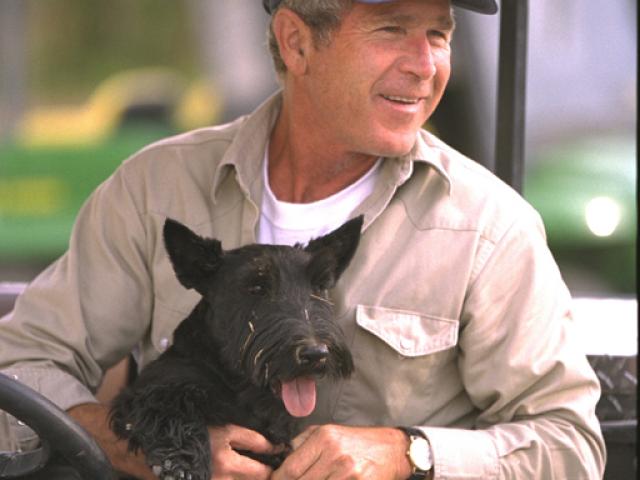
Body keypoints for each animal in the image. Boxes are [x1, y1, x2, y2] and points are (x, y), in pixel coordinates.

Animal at [109, 217, 360, 480]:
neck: (241, 386)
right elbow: (167, 405)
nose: (316, 354)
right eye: (257, 288)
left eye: (319, 286)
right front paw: (182, 464)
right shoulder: (146, 390)